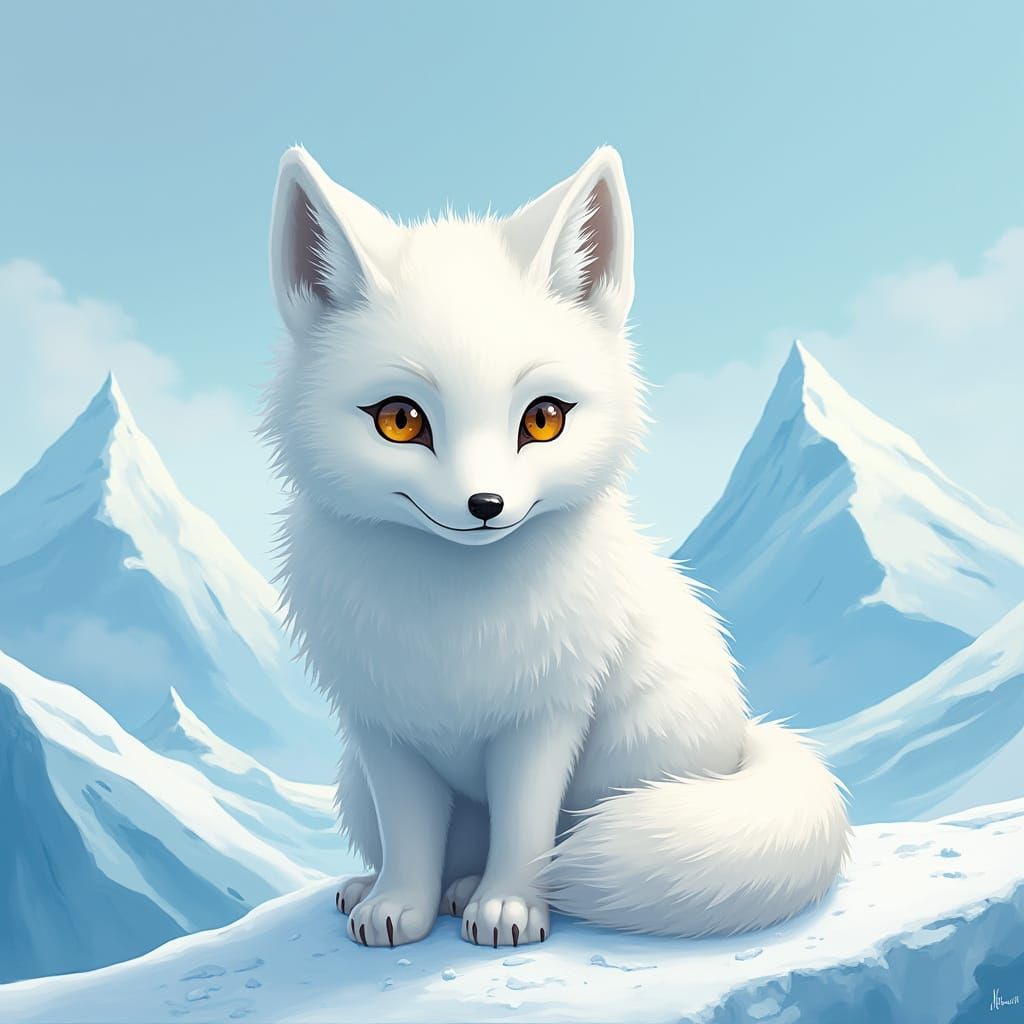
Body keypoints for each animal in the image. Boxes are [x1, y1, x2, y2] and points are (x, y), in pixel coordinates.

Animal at [261, 144, 850, 949]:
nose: (485, 507)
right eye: (400, 420)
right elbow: (410, 835)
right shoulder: (382, 725)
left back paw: (487, 892)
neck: (454, 626)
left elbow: (524, 828)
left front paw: (508, 907)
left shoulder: (544, 717)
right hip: (353, 780)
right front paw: (398, 907)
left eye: (543, 419)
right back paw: (387, 888)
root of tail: (743, 743)